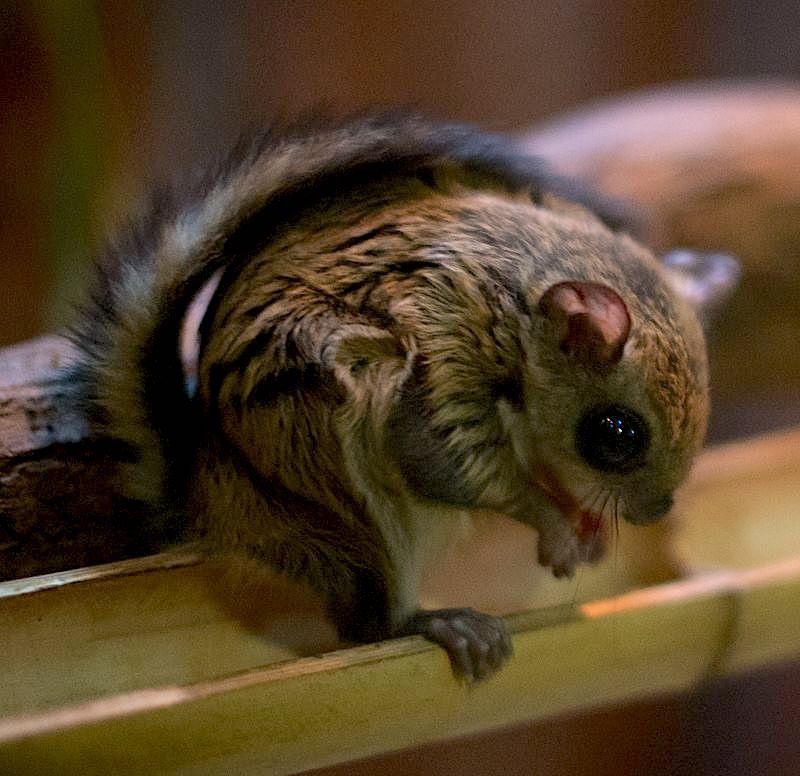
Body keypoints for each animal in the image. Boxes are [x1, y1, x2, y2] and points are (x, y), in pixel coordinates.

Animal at [69, 112, 736, 684]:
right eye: (615, 434)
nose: (655, 512)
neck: (516, 310)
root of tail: (209, 503)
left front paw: (587, 529)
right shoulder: (442, 363)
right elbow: (450, 466)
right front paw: (555, 525)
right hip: (344, 498)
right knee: (368, 624)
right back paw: (436, 622)